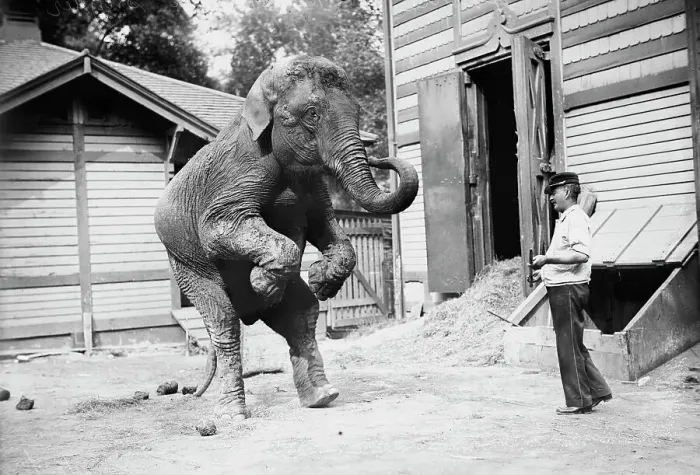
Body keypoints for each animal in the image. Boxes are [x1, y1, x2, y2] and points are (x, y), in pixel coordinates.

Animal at [154, 55, 419, 420]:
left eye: (358, 110)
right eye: (312, 113)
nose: (380, 155)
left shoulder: (313, 186)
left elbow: (326, 227)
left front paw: (319, 280)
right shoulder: (235, 174)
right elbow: (218, 227)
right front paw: (262, 283)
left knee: (302, 314)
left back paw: (322, 396)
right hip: (185, 264)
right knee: (224, 321)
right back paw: (233, 414)